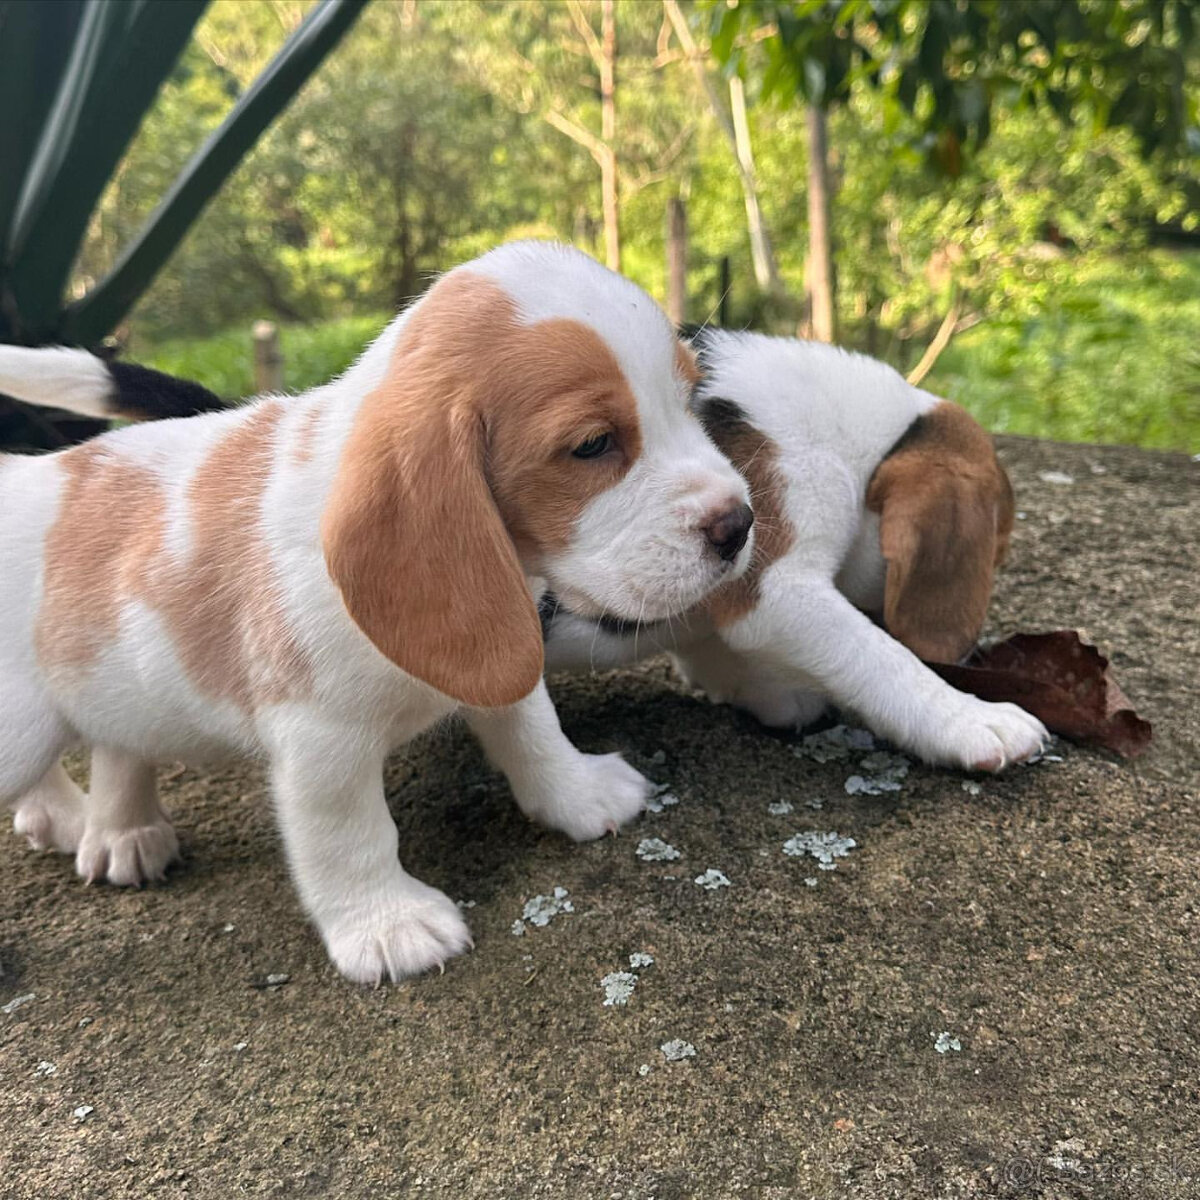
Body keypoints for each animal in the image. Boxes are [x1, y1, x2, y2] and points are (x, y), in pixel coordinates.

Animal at [0, 243, 748, 984]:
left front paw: (578, 793)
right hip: (21, 731)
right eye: (592, 444)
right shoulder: (321, 742)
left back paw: (119, 830)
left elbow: (533, 730)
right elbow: (350, 834)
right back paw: (64, 817)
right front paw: (387, 924)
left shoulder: (498, 652)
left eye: (691, 399)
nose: (739, 524)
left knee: (119, 741)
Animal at [540, 328, 1046, 768]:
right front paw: (972, 717)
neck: (852, 438)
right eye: (996, 555)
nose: (970, 660)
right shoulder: (776, 586)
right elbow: (879, 656)